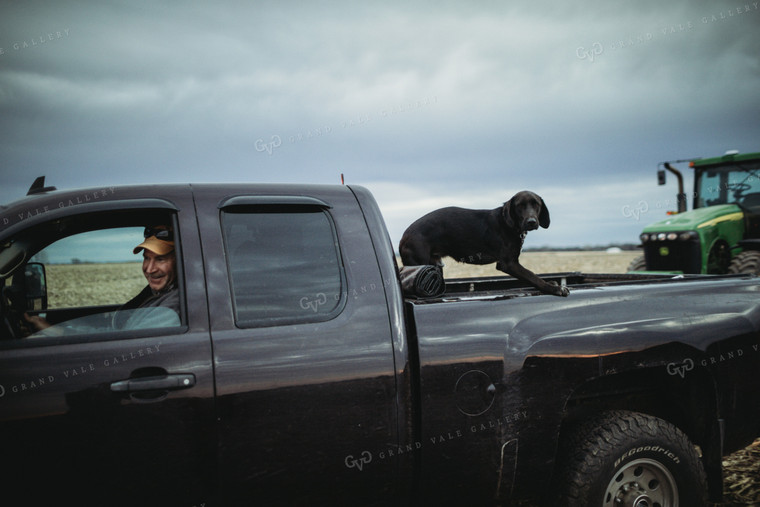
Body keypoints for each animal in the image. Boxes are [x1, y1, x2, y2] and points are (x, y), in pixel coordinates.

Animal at [400, 193, 568, 298]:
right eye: (520, 206)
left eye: (536, 205)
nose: (532, 222)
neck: (509, 224)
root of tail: (404, 235)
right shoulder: (508, 264)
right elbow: (532, 276)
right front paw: (554, 288)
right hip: (419, 262)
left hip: (435, 265)